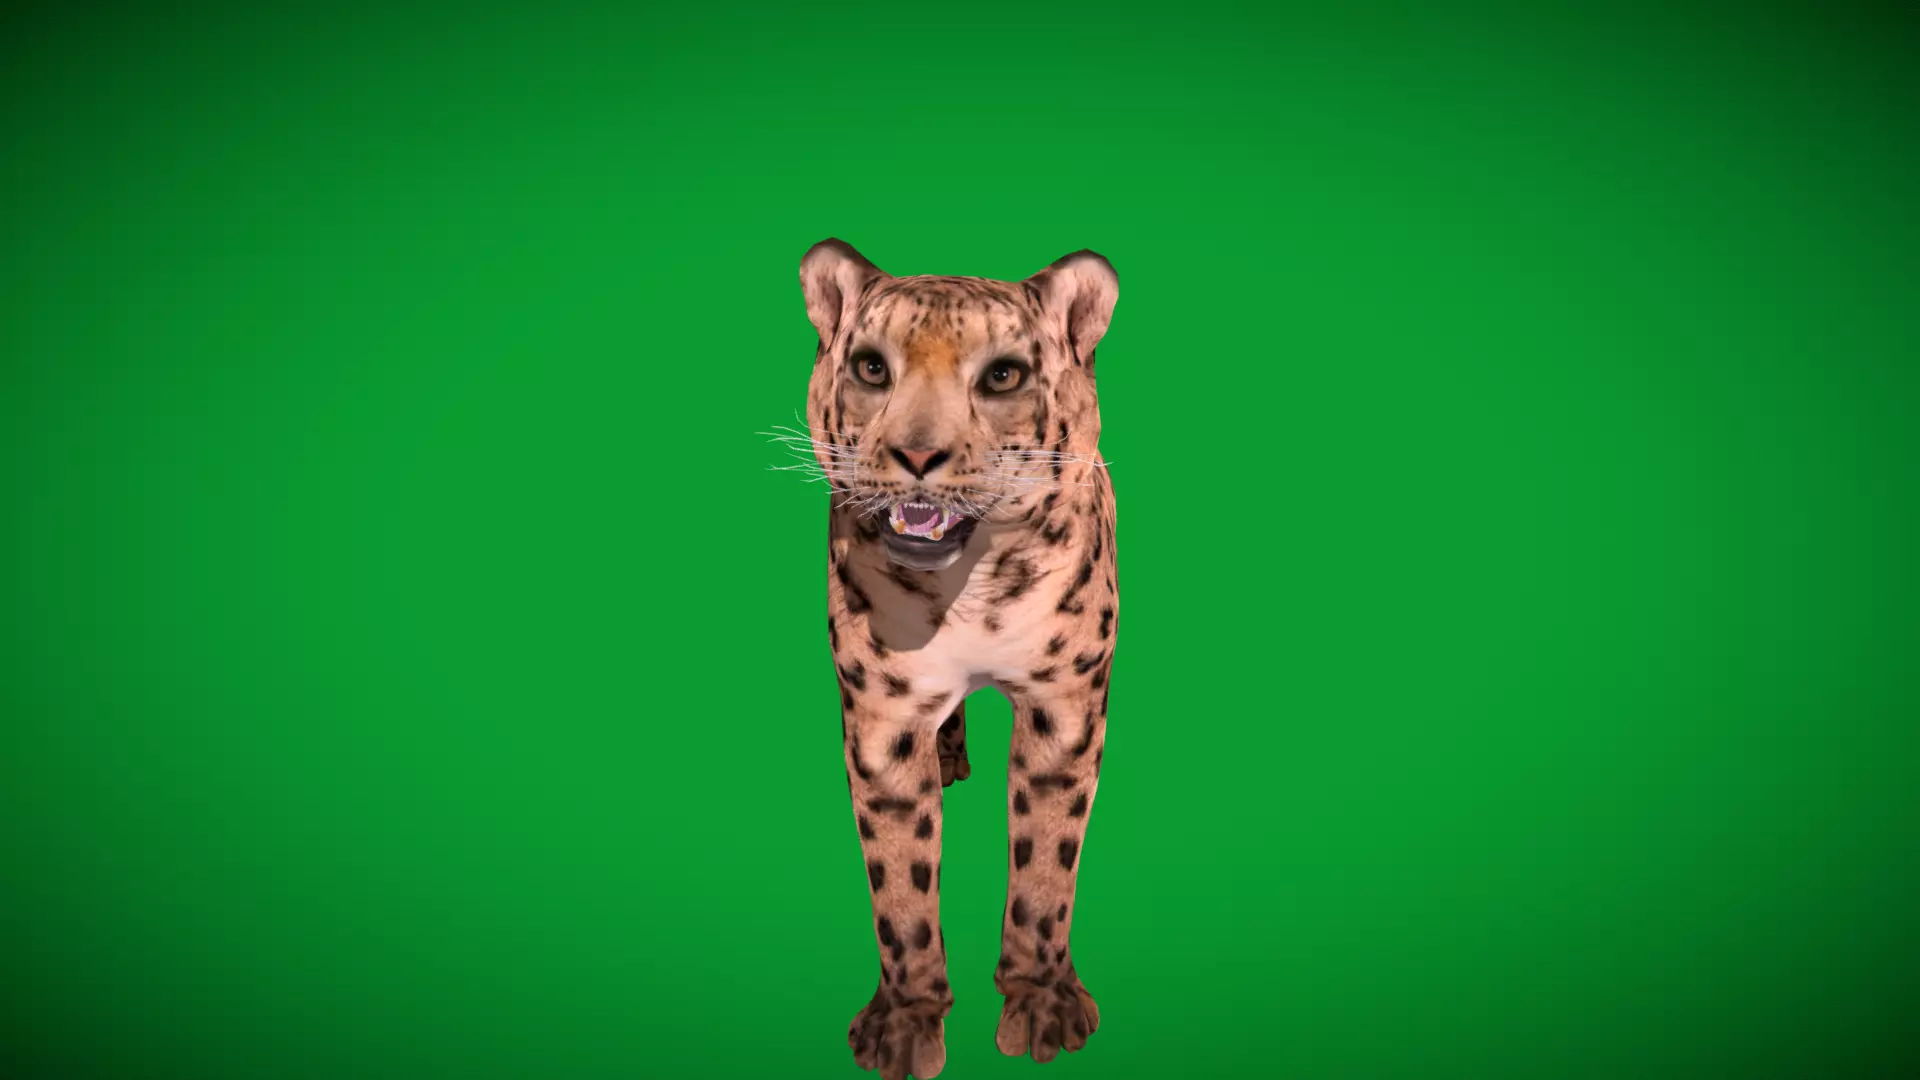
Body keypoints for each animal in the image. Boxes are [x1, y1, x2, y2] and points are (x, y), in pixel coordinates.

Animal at [790, 239, 1120, 1080]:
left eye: (1002, 376)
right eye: (872, 368)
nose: (917, 454)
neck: (970, 592)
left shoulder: (1064, 706)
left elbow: (1046, 864)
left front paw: (1041, 1004)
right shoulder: (883, 716)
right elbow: (900, 883)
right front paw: (907, 1024)